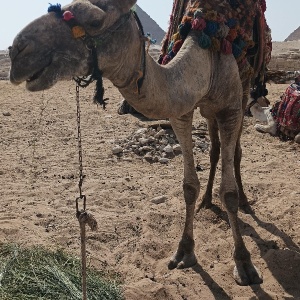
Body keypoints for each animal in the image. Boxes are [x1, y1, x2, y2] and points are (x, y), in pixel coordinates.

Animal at [8, 0, 264, 286]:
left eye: (95, 20)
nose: (17, 52)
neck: (207, 55)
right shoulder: (181, 111)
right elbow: (189, 186)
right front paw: (184, 251)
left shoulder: (230, 109)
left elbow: (228, 192)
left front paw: (244, 263)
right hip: (209, 111)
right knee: (214, 150)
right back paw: (207, 201)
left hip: (243, 94)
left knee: (235, 151)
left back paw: (245, 201)